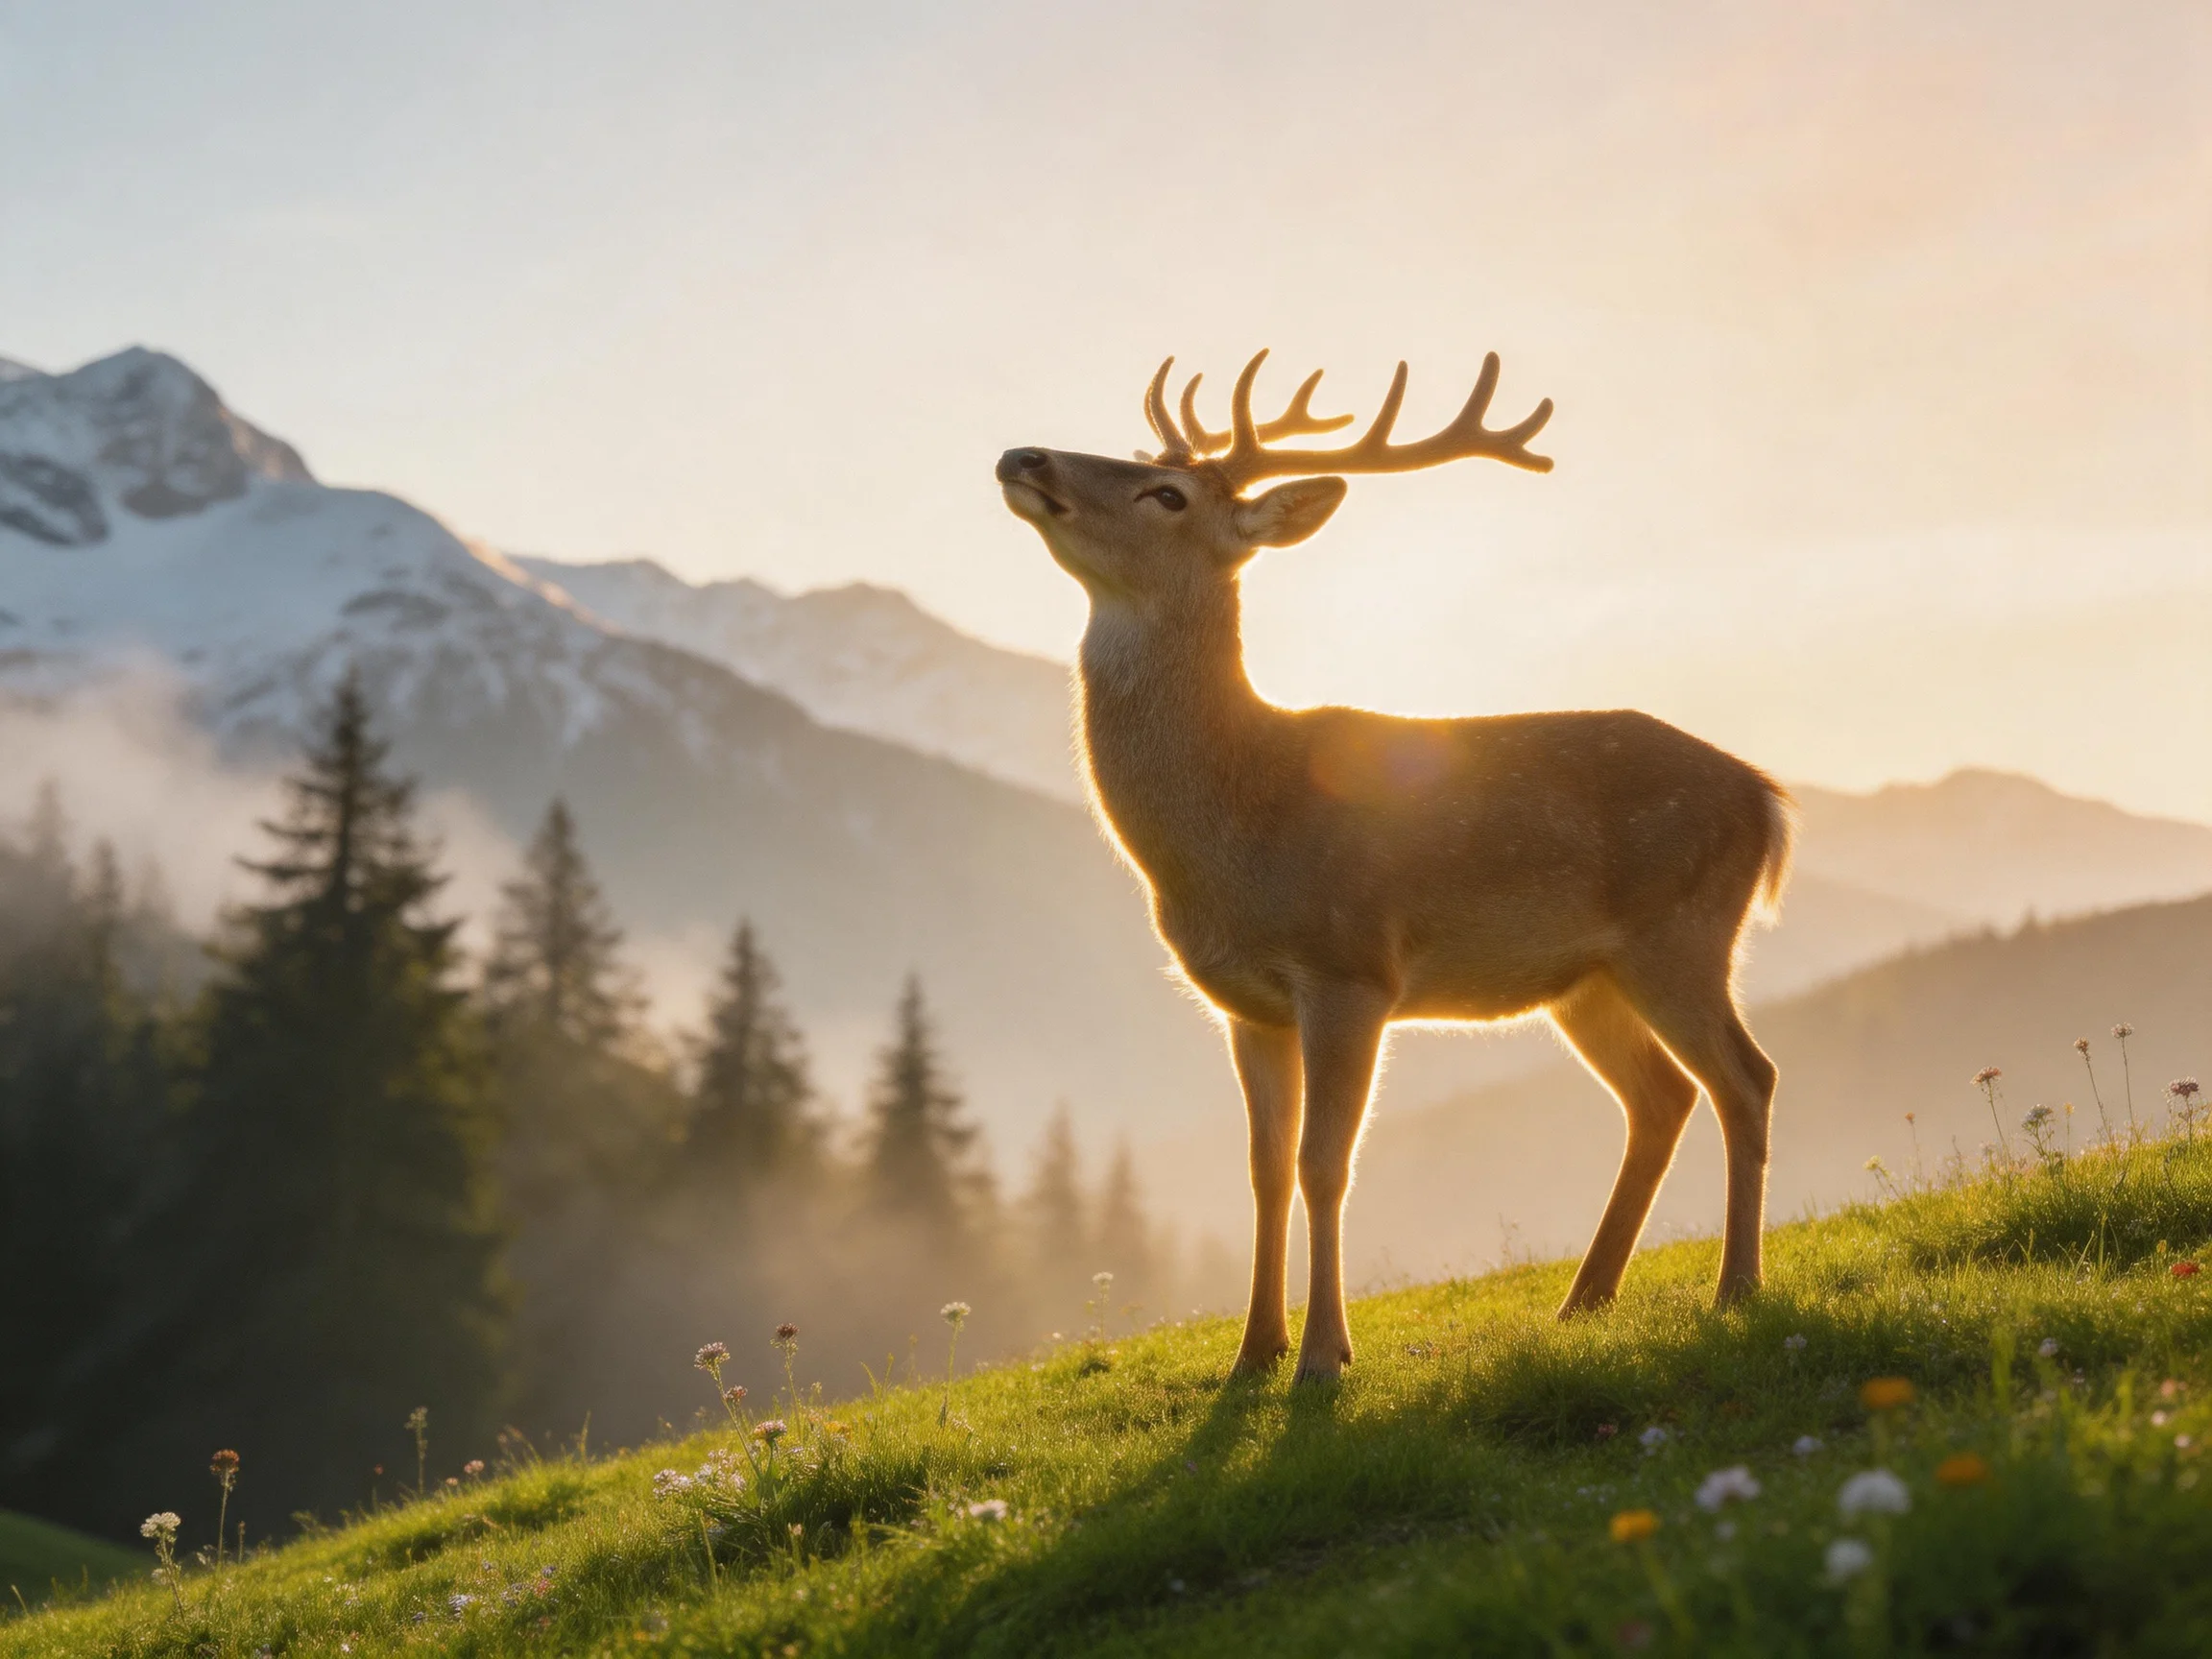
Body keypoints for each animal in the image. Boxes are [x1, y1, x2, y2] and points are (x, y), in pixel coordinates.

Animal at [996, 350, 1792, 1383]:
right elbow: (1263, 1169)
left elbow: (1324, 1164)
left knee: (1747, 1077)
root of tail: (1766, 800)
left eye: (1166, 494)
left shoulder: (1350, 968)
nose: (1024, 456)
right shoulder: (1244, 1005)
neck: (1234, 835)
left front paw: (1322, 1358)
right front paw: (1252, 1354)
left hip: (1683, 931)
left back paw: (1736, 1287)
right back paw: (1584, 1299)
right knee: (1663, 1096)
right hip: (1589, 978)